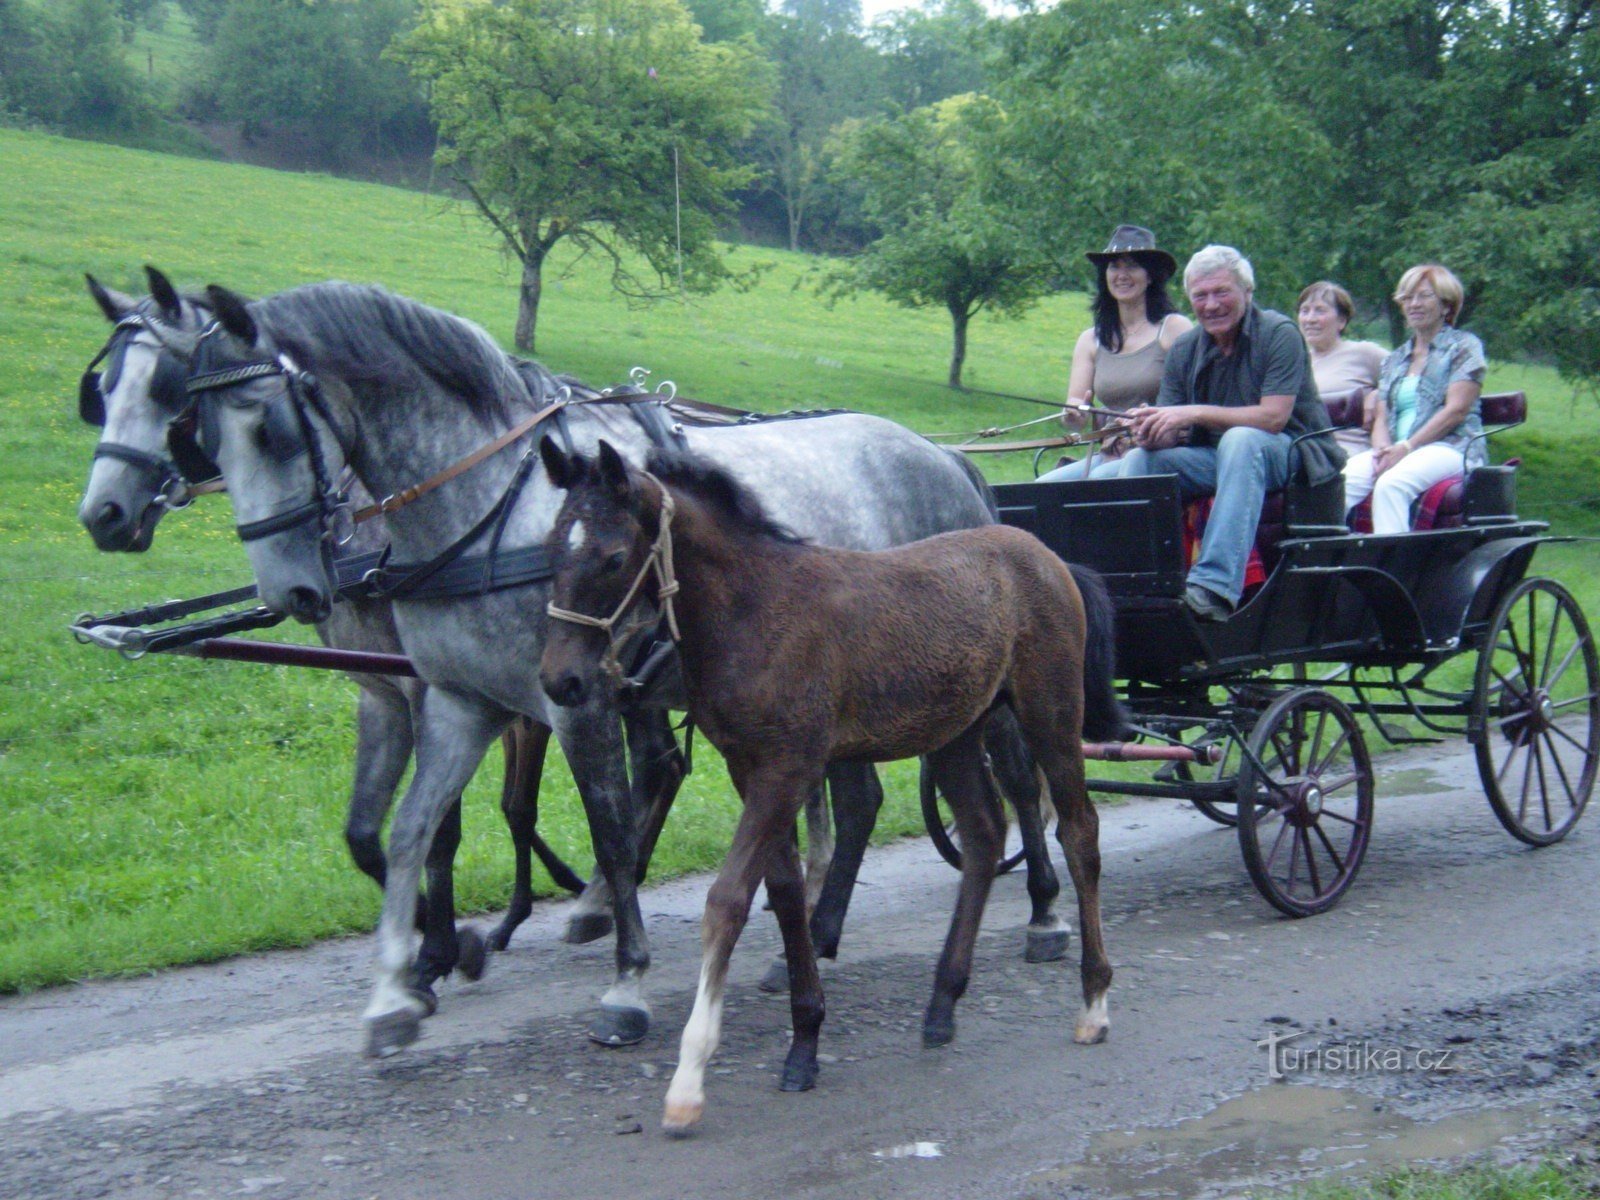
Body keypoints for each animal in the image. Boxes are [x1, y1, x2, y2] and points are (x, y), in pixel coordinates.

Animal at [172, 284, 1075, 1062]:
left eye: (268, 428)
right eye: (199, 428)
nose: (292, 586)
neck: (489, 506)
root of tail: (945, 459)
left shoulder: (575, 703)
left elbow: (604, 829)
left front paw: (620, 980)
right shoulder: (459, 701)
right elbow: (406, 830)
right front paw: (403, 986)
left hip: (975, 687)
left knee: (1018, 775)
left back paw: (1041, 913)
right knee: (860, 804)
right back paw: (818, 935)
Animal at [540, 441, 1113, 1139]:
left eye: (615, 558)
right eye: (550, 549)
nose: (560, 680)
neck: (753, 612)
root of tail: (1047, 555)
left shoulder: (787, 766)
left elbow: (728, 900)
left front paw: (689, 1079)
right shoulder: (750, 769)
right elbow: (785, 894)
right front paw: (804, 1042)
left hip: (1049, 711)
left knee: (1078, 830)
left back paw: (1093, 1002)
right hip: (956, 731)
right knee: (982, 832)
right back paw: (942, 1004)